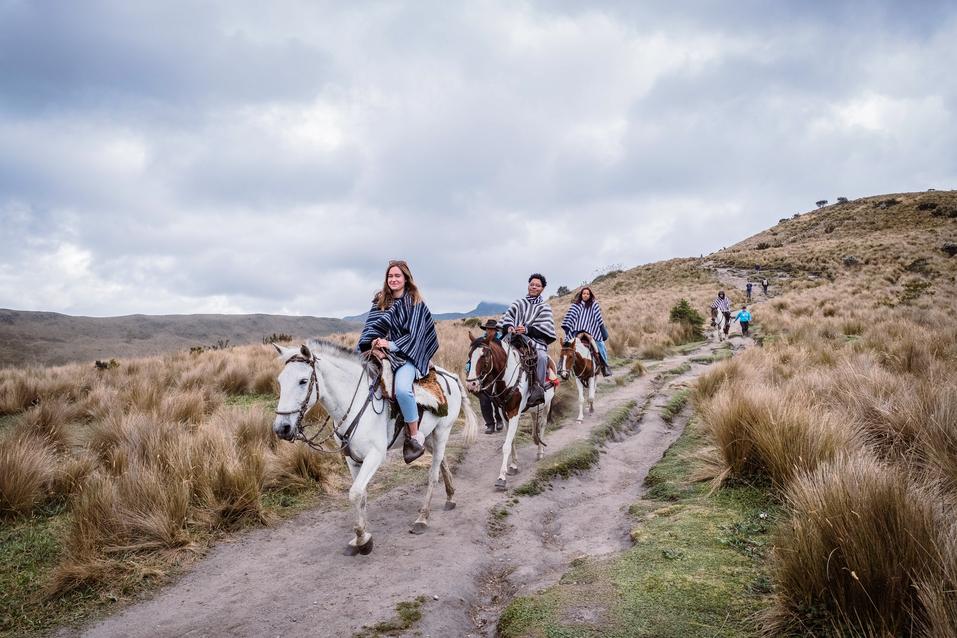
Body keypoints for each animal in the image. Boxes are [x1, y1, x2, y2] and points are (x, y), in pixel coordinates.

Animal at [268, 340, 478, 556]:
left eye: (303, 381)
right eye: (280, 381)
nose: (281, 428)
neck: (355, 403)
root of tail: (451, 376)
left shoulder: (375, 456)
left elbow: (355, 493)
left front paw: (362, 539)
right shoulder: (352, 460)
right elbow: (361, 495)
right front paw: (359, 537)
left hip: (442, 432)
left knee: (433, 474)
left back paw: (422, 518)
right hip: (427, 437)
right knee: (442, 461)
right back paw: (450, 496)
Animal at [464, 332, 552, 492]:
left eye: (484, 355)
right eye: (469, 355)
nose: (471, 384)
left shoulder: (514, 412)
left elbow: (506, 445)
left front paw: (501, 478)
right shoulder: (503, 412)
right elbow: (512, 440)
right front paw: (514, 465)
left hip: (547, 403)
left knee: (542, 424)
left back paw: (540, 451)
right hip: (532, 407)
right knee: (534, 419)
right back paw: (535, 440)